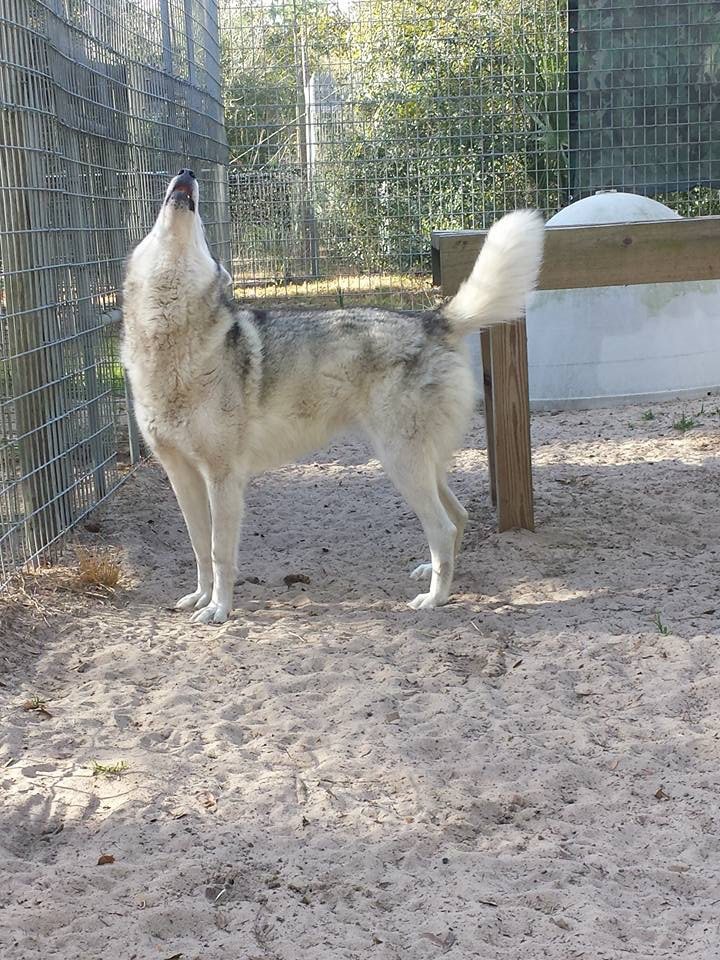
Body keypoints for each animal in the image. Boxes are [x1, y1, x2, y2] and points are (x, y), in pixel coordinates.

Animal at [121, 170, 544, 624]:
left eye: (202, 234)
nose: (187, 173)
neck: (170, 342)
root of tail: (434, 319)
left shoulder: (223, 477)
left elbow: (219, 552)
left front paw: (220, 608)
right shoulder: (182, 476)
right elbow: (199, 547)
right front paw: (201, 598)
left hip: (401, 465)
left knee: (444, 527)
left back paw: (435, 598)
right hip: (414, 465)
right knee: (457, 517)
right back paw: (434, 574)